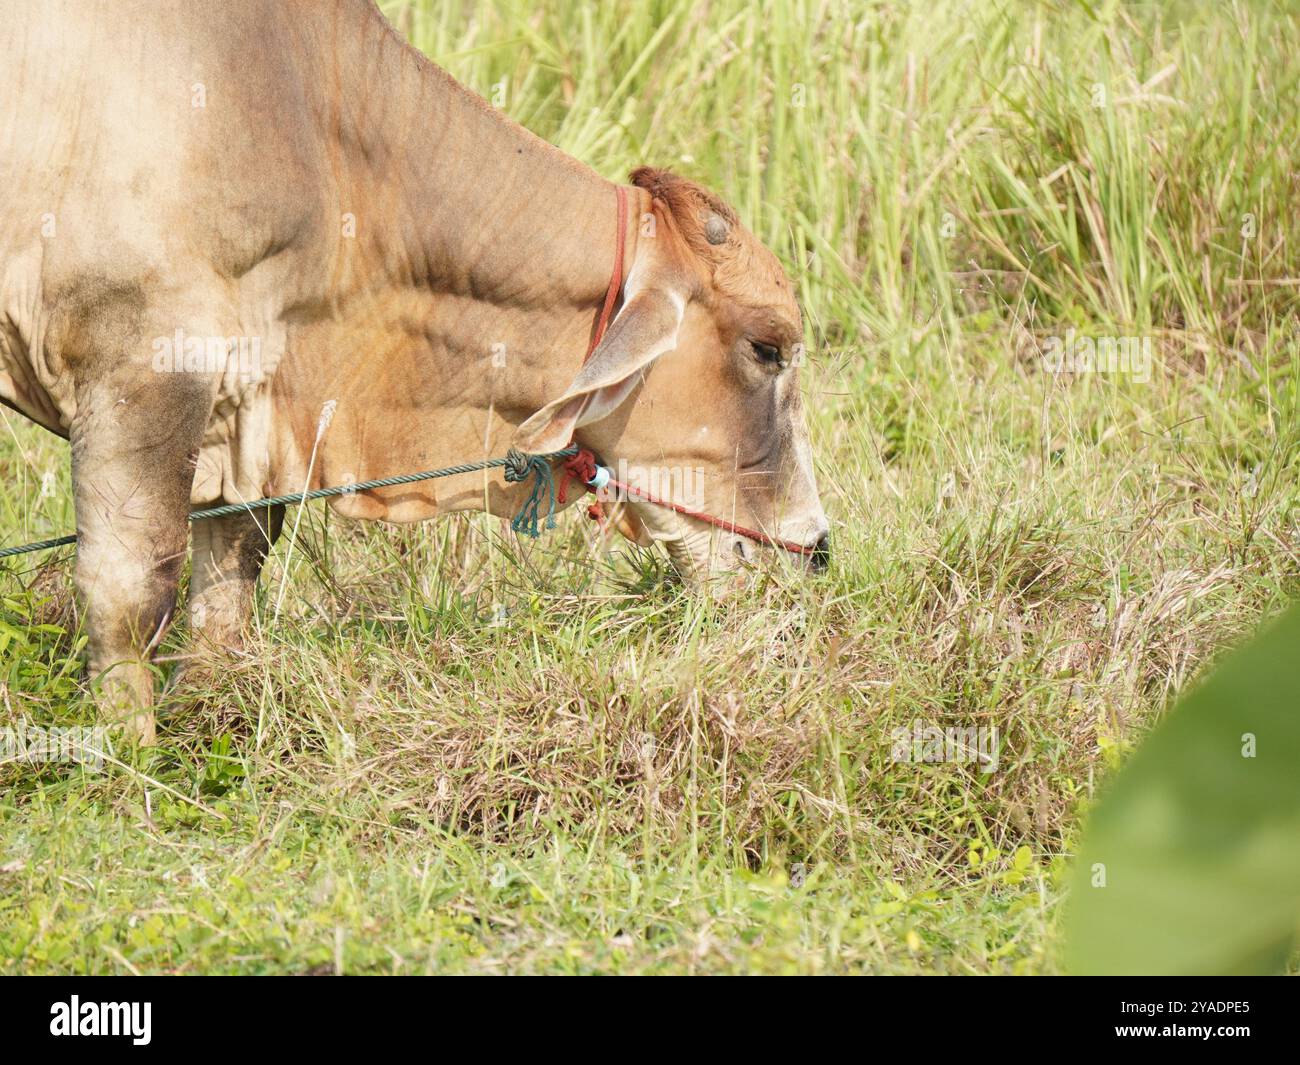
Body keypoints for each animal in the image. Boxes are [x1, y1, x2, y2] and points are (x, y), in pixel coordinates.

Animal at [0, 0, 826, 743]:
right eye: (767, 346)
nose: (816, 547)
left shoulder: (247, 409)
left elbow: (230, 578)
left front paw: (208, 714)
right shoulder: (142, 354)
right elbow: (129, 587)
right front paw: (128, 758)